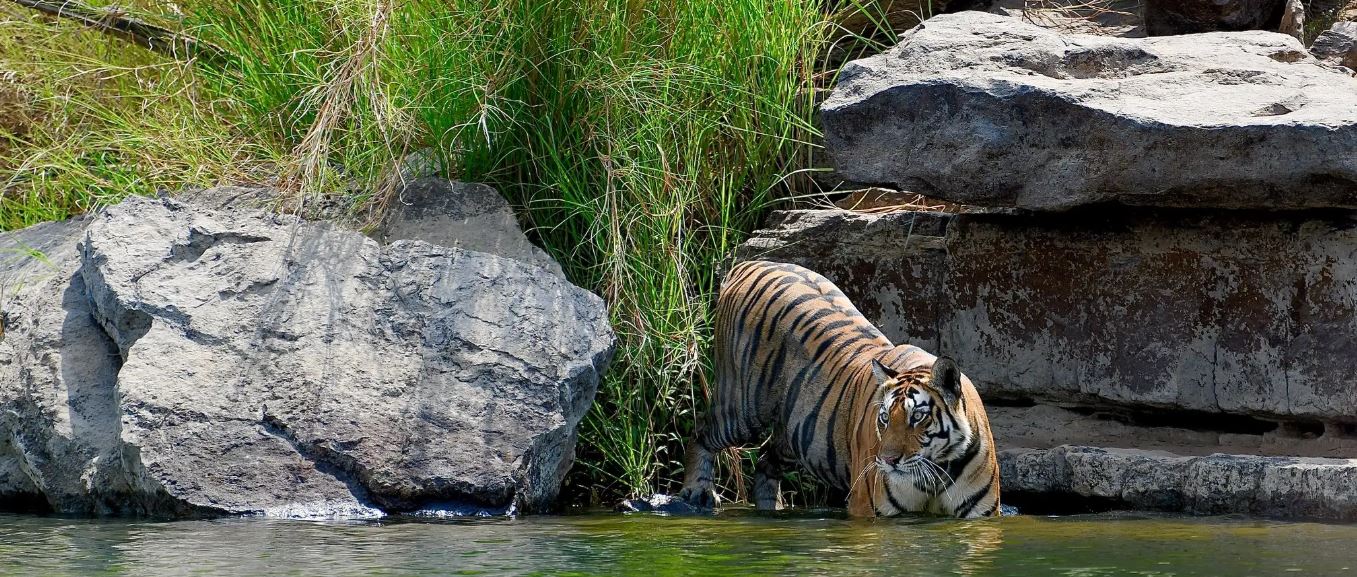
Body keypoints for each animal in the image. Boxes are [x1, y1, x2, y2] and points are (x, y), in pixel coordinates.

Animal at [677, 260, 1001, 518]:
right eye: (885, 418)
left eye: (917, 417)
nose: (887, 462)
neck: (937, 472)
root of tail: (749, 263)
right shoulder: (870, 511)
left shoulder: (981, 516)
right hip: (743, 407)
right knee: (702, 429)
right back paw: (698, 493)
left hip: (798, 432)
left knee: (767, 460)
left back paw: (773, 510)